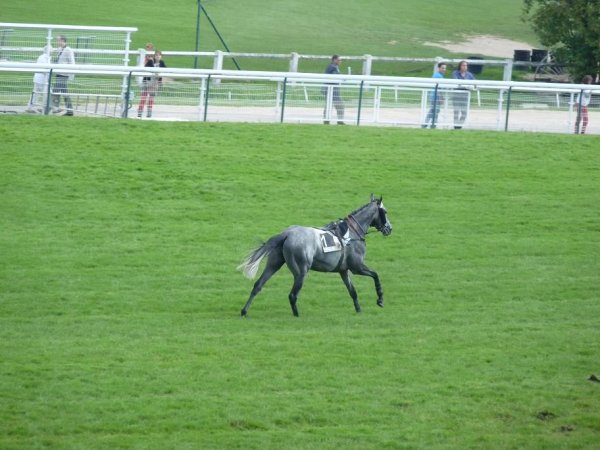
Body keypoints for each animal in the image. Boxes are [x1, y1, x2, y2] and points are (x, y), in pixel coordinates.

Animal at [239, 194, 394, 316]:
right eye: (385, 211)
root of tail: (287, 234)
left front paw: (359, 310)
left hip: (274, 264)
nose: (389, 229)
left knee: (258, 285)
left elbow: (353, 291)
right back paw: (297, 315)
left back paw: (244, 311)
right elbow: (375, 275)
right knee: (292, 295)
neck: (353, 232)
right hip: (301, 271)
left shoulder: (343, 270)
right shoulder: (357, 267)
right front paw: (380, 299)